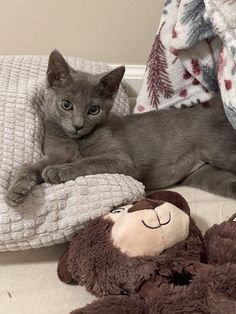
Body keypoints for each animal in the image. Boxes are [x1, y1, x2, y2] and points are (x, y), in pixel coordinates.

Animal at [5, 49, 236, 206]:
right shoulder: (55, 153)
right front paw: (16, 191)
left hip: (220, 151)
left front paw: (57, 172)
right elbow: (28, 165)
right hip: (205, 175)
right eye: (66, 105)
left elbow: (88, 161)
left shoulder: (122, 161)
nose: (78, 125)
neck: (75, 141)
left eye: (94, 110)